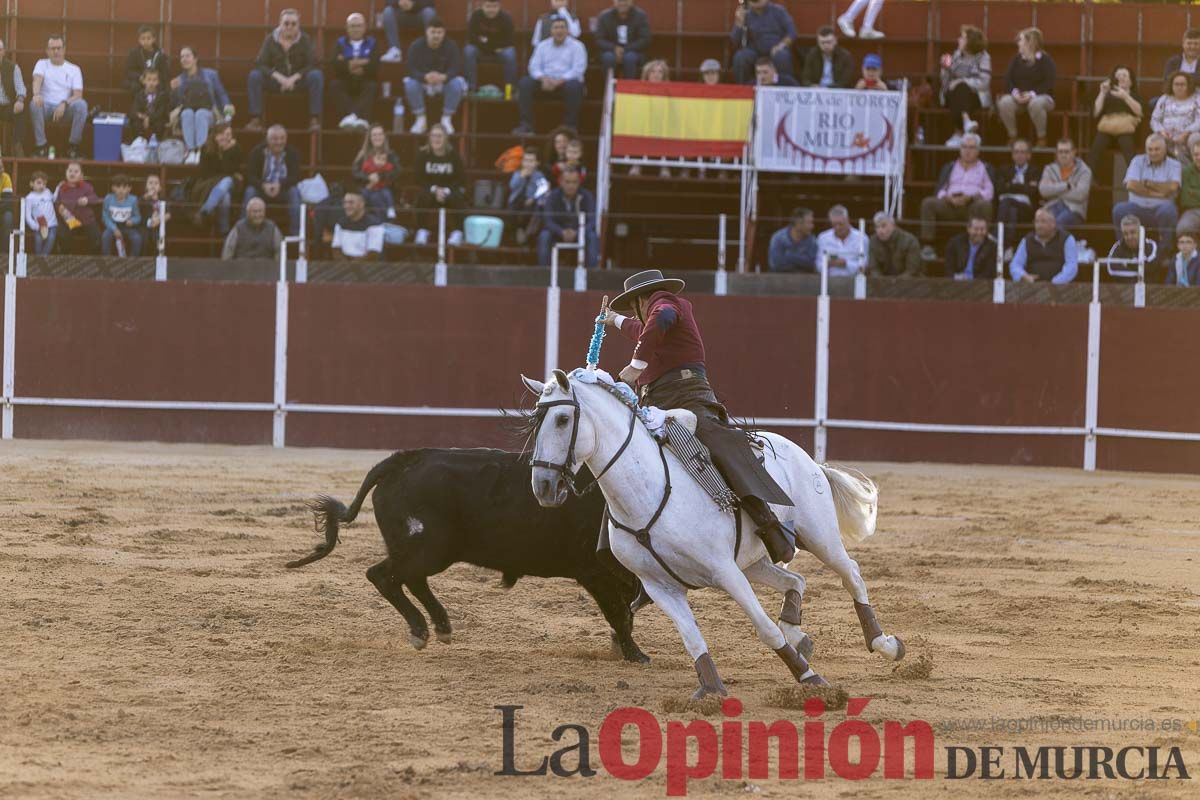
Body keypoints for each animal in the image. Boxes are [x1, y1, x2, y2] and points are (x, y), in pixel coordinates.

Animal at [286, 450, 652, 662]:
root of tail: (403, 461)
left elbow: (626, 610)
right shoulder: (595, 573)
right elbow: (619, 614)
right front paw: (636, 655)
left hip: (429, 550)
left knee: (408, 578)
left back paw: (440, 626)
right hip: (430, 548)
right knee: (383, 575)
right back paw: (421, 630)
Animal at [523, 371, 902, 700]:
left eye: (562, 420)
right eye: (535, 421)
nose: (543, 486)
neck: (648, 491)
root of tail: (806, 457)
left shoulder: (724, 571)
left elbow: (764, 627)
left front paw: (809, 677)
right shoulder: (659, 586)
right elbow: (692, 638)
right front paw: (711, 690)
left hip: (819, 537)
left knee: (851, 573)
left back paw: (884, 644)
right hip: (753, 560)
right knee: (796, 581)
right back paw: (799, 635)